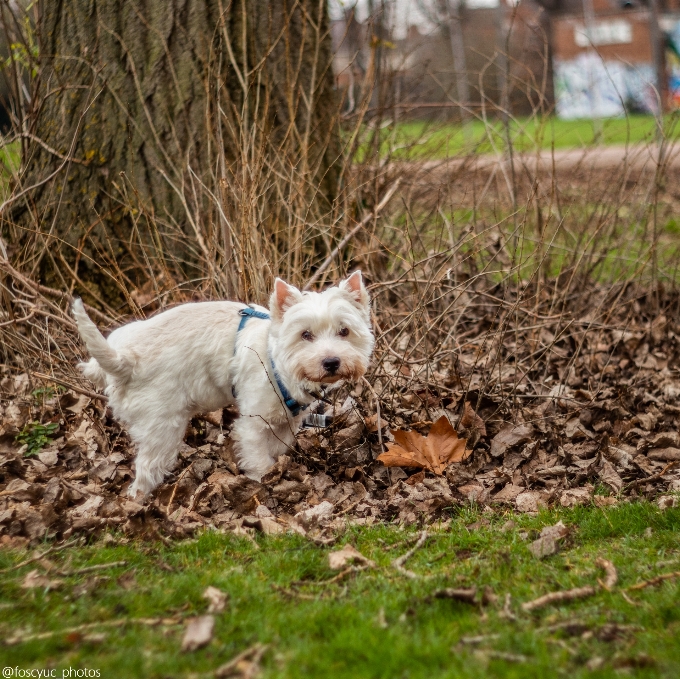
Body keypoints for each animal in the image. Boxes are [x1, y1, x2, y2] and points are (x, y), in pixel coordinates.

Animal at [71, 272, 374, 500]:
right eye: (305, 334)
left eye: (344, 331)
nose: (331, 362)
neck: (277, 361)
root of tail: (125, 359)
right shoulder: (253, 423)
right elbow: (259, 460)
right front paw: (263, 482)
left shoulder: (285, 423)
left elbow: (278, 449)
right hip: (162, 426)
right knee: (145, 470)